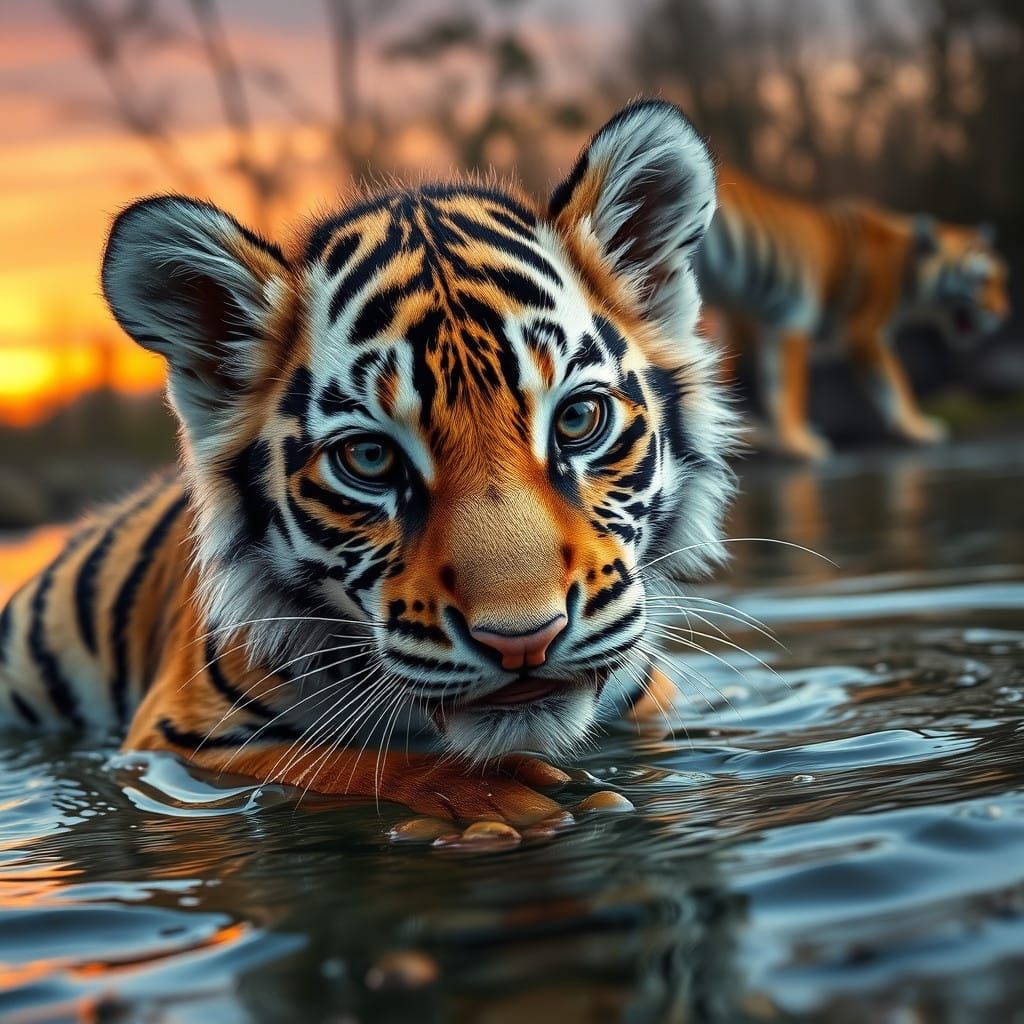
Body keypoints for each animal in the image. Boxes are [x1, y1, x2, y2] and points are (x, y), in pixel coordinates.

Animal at [0, 101, 736, 830]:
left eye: (578, 419)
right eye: (370, 458)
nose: (524, 641)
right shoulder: (166, 746)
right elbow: (336, 762)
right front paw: (493, 802)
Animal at [697, 164, 1010, 460]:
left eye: (1002, 281)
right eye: (984, 281)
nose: (1003, 315)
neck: (907, 267)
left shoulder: (750, 321)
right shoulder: (841, 328)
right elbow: (891, 382)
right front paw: (799, 443)